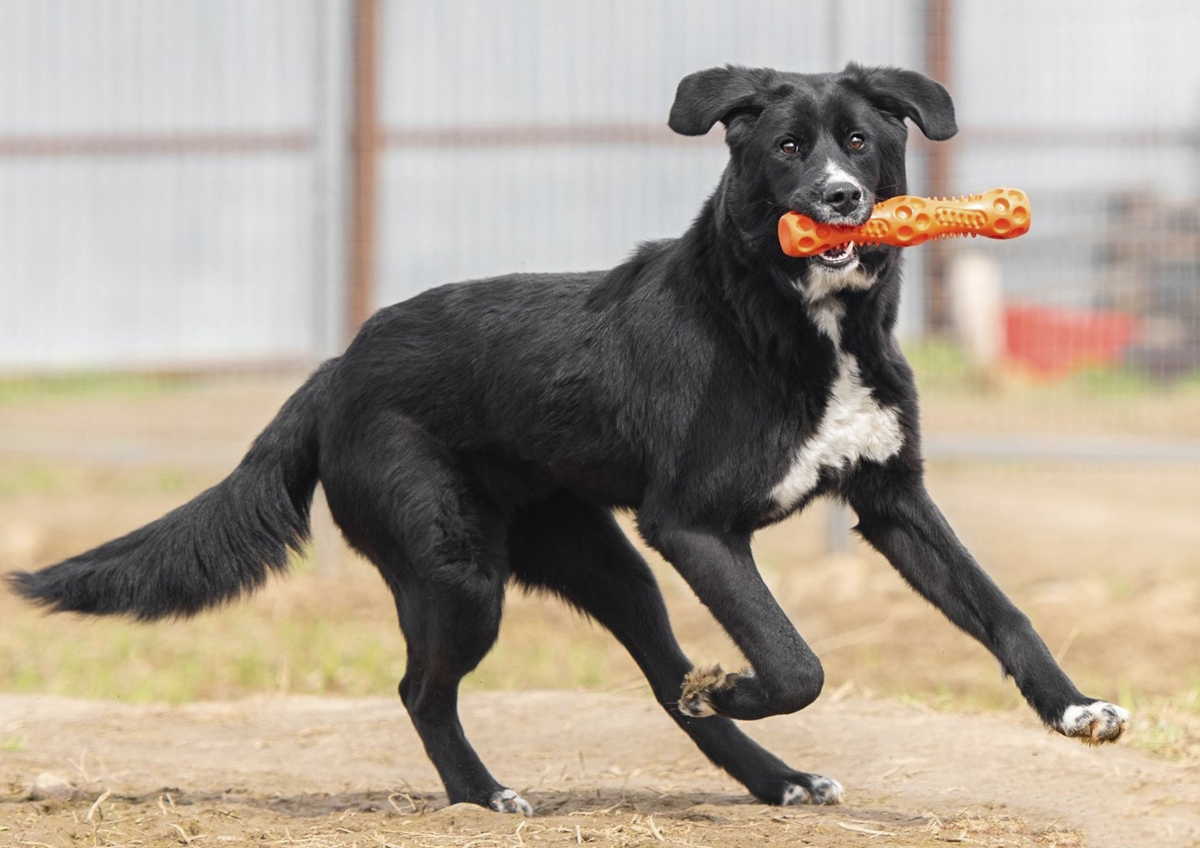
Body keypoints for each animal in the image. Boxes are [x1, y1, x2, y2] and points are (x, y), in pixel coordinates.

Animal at [9, 64, 1128, 815]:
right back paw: (481, 793)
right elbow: (792, 659)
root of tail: (335, 369)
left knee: (660, 679)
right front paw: (739, 677)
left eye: (861, 143)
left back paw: (773, 776)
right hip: (461, 568)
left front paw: (1075, 710)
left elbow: (1003, 612)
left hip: (606, 560)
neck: (799, 325)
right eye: (786, 150)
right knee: (421, 688)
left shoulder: (893, 498)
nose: (842, 202)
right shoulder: (694, 526)